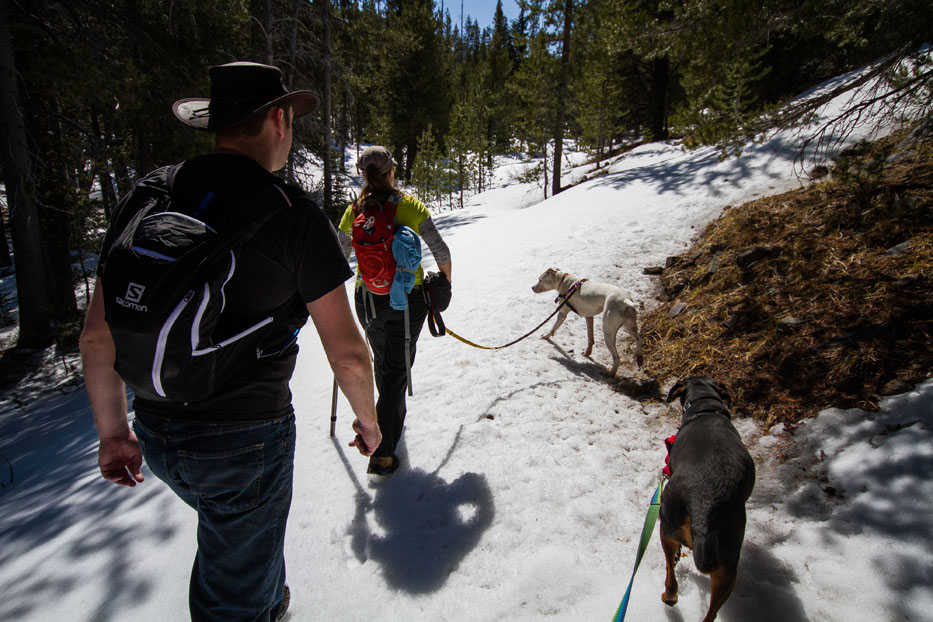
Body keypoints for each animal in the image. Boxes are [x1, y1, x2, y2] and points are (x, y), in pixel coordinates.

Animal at [660, 378, 752, 622]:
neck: (705, 408)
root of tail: (705, 501)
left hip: (666, 526)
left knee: (670, 572)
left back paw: (668, 595)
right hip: (728, 565)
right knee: (711, 612)